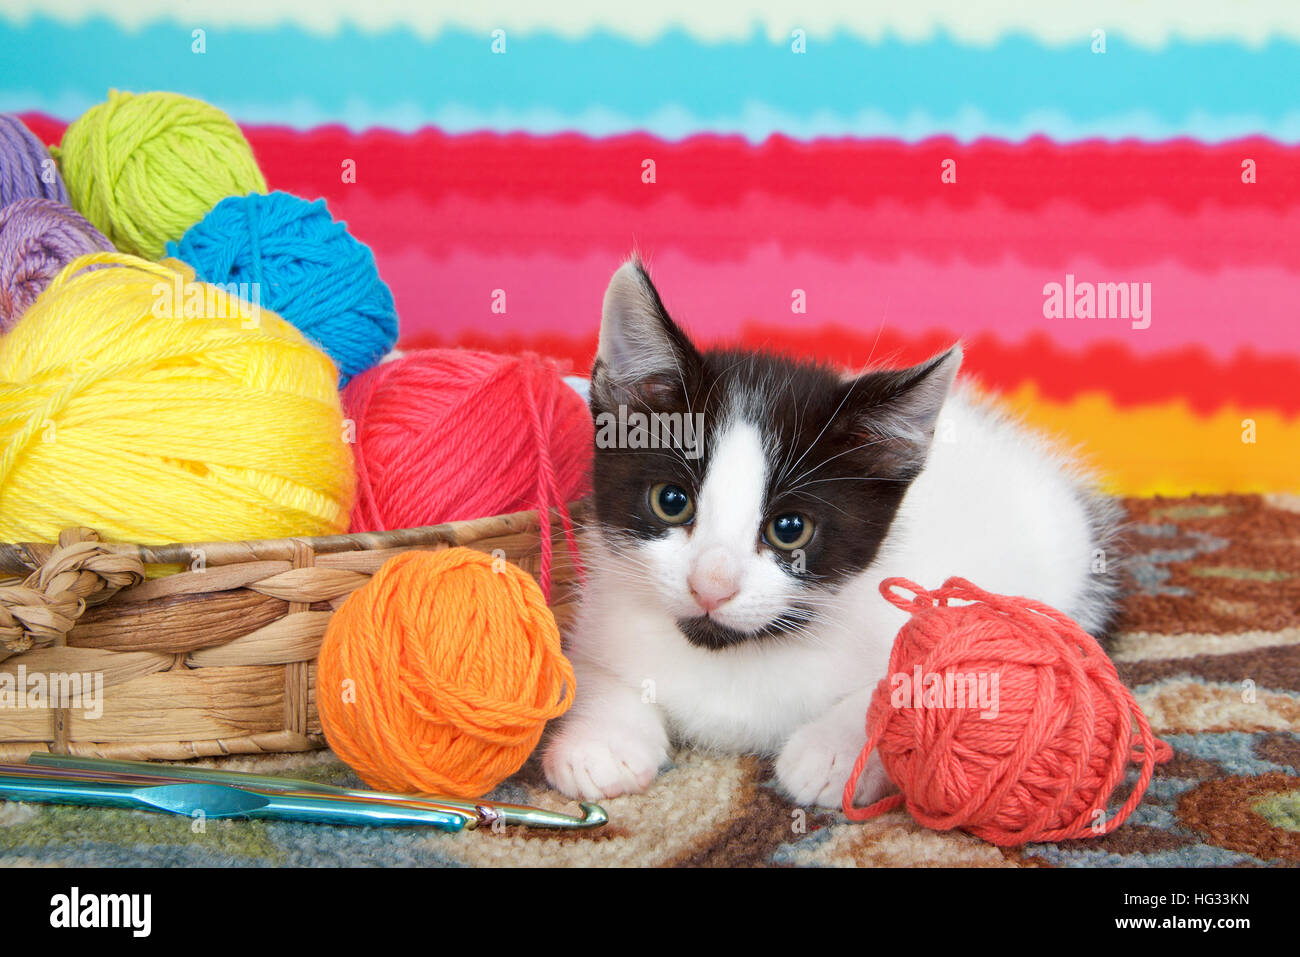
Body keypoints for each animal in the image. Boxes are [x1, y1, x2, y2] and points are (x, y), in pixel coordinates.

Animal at [543, 256, 1123, 806]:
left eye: (790, 529)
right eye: (671, 502)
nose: (712, 586)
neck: (734, 653)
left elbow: (920, 678)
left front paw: (833, 752)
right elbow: (588, 669)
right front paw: (601, 742)